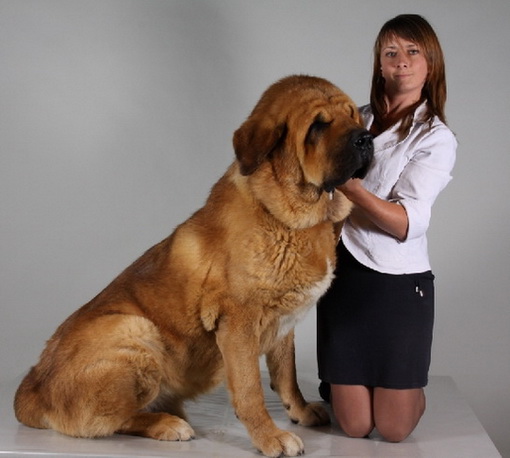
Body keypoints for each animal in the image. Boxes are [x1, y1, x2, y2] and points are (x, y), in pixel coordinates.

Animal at [14, 74, 374, 454]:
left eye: (352, 114)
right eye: (318, 126)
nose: (366, 139)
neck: (286, 217)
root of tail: (33, 386)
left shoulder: (283, 323)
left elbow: (286, 376)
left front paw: (300, 413)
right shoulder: (238, 323)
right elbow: (250, 391)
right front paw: (270, 437)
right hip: (135, 330)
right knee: (114, 420)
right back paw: (168, 424)